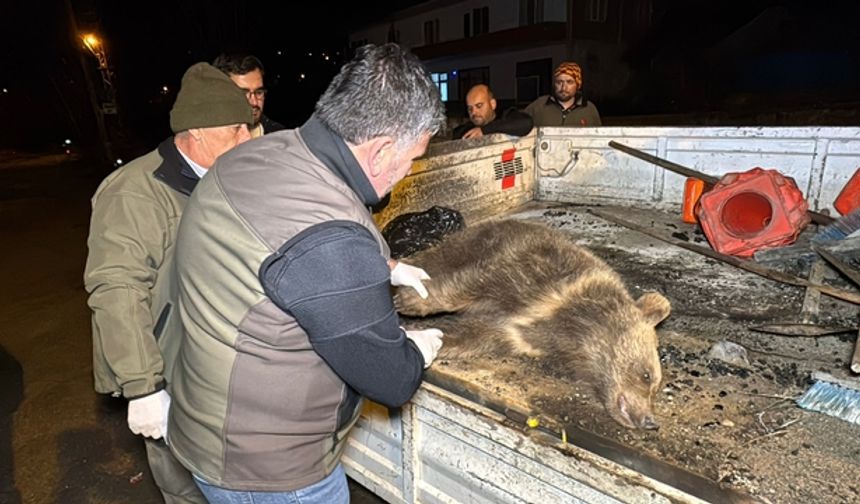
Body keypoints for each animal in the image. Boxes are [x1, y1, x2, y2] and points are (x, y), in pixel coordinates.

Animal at [396, 218, 672, 430]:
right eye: (647, 375)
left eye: (656, 388)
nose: (650, 421)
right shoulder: (530, 273)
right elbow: (468, 284)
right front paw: (409, 298)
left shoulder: (519, 335)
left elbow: (472, 335)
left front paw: (423, 339)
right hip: (474, 242)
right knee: (437, 258)